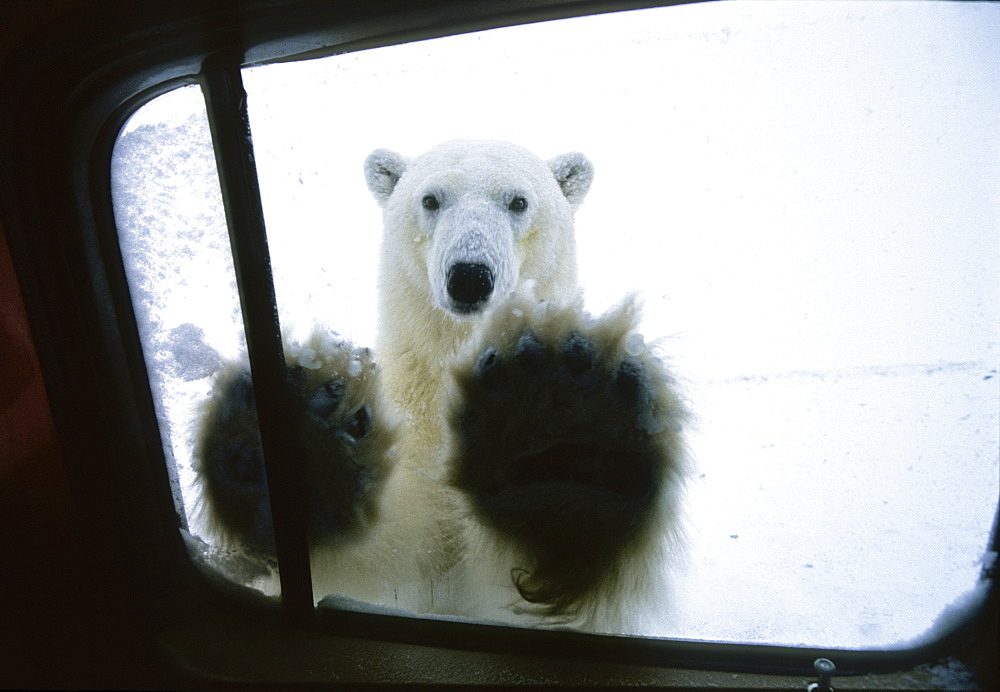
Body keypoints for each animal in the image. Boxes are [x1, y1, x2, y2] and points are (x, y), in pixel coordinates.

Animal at [199, 141, 692, 632]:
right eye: (431, 200)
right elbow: (384, 563)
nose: (470, 276)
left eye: (518, 201)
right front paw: (314, 446)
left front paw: (570, 426)